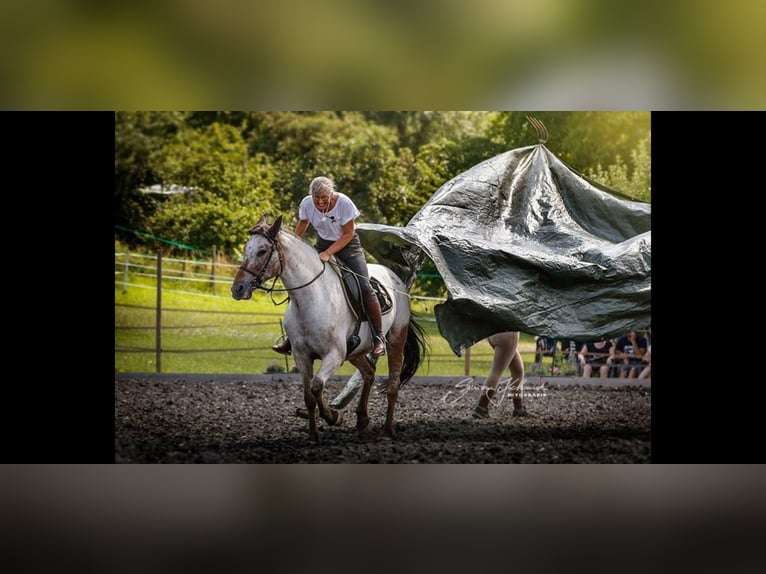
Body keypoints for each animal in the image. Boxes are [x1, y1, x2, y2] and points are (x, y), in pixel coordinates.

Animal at [231, 216, 428, 446]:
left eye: (262, 251)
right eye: (246, 248)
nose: (238, 288)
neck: (312, 298)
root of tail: (396, 279)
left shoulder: (334, 355)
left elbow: (316, 386)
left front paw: (334, 416)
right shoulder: (301, 355)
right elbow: (309, 395)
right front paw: (313, 435)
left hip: (396, 340)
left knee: (392, 385)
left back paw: (387, 431)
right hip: (356, 352)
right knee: (369, 372)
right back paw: (362, 420)